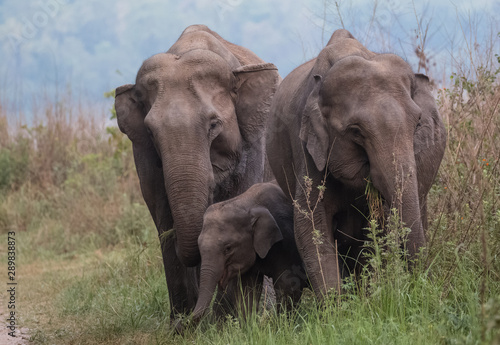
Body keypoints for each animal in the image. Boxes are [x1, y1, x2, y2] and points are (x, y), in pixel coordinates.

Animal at [114, 24, 282, 320]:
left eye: (214, 125)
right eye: (150, 132)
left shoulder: (254, 145)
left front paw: (224, 322)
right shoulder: (143, 155)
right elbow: (163, 214)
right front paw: (182, 323)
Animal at [193, 183, 306, 322]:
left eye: (228, 248)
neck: (248, 202)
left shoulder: (287, 241)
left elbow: (288, 285)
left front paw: (283, 323)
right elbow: (247, 291)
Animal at [268, 29, 448, 296]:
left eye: (417, 123)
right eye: (355, 131)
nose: (418, 287)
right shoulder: (309, 150)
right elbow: (311, 225)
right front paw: (337, 305)